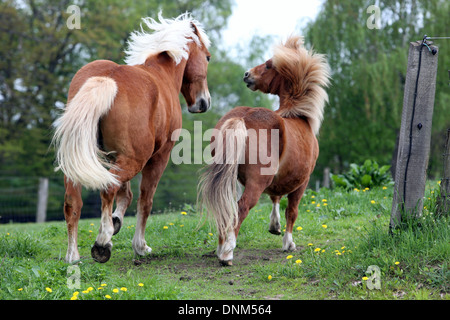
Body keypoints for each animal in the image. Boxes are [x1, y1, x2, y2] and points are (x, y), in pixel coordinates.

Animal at [53, 11, 212, 262]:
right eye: (207, 57)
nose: (204, 103)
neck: (161, 75)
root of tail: (108, 78)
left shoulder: (113, 156)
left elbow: (125, 194)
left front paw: (116, 222)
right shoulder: (159, 157)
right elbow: (144, 200)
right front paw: (139, 245)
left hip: (80, 160)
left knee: (73, 201)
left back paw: (73, 256)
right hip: (135, 160)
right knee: (108, 189)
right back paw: (102, 243)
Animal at [198, 35, 330, 266]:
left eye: (268, 65)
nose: (246, 74)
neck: (296, 114)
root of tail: (242, 117)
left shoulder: (278, 178)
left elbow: (275, 198)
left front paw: (274, 226)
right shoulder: (302, 183)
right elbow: (292, 211)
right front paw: (288, 243)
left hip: (229, 177)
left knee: (226, 208)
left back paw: (221, 246)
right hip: (256, 183)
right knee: (240, 208)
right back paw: (227, 252)